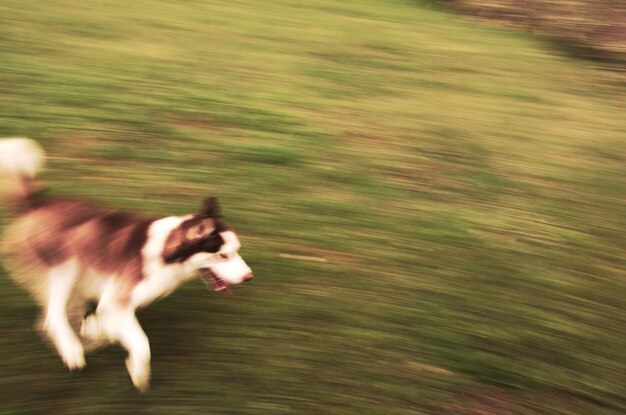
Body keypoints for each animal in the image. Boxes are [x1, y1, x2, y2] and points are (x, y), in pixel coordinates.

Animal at [1, 138, 254, 392]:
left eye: (237, 249)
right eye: (223, 255)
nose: (248, 277)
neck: (165, 254)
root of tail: (38, 202)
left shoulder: (116, 303)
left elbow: (107, 326)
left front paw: (94, 329)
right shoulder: (116, 301)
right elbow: (140, 341)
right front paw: (139, 371)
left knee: (49, 317)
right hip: (66, 266)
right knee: (53, 315)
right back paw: (72, 351)